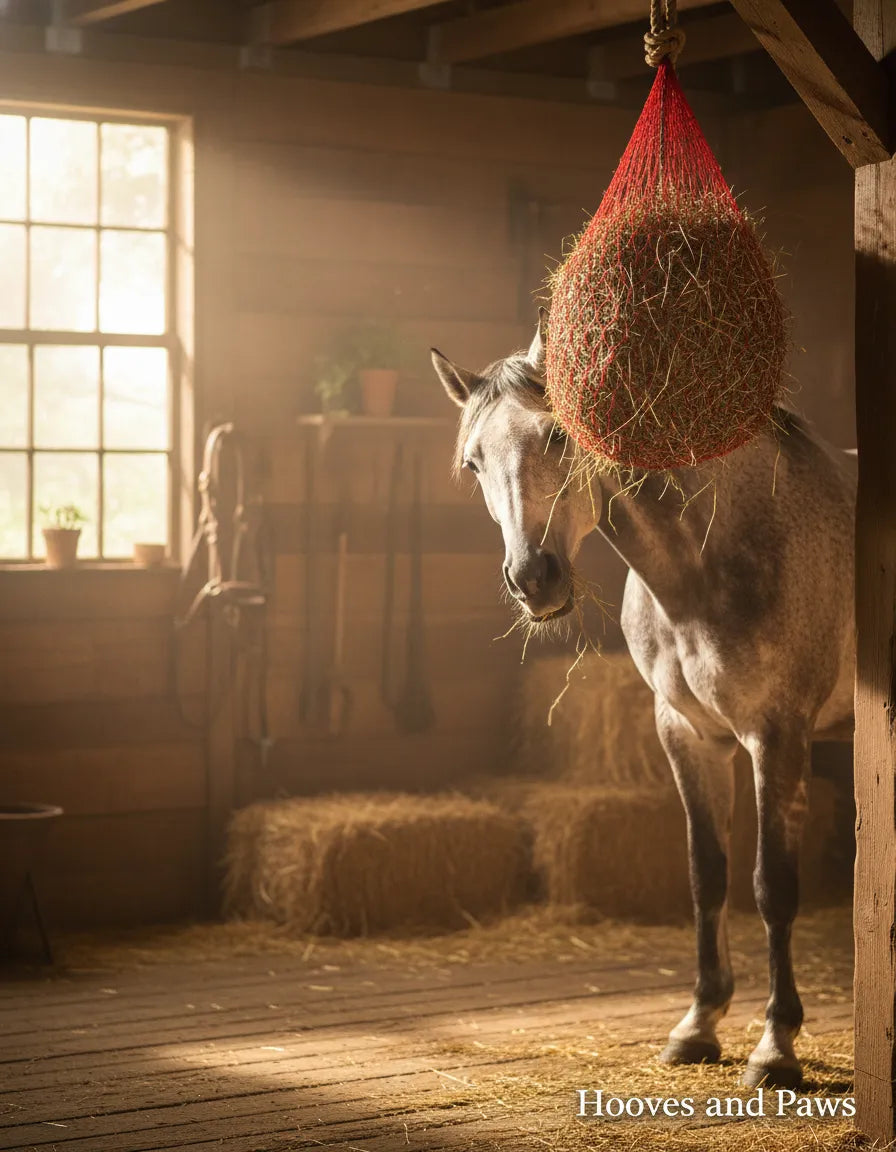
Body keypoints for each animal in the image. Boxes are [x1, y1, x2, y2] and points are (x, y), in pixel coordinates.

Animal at [431, 311, 856, 1090]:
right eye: (474, 463)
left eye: (557, 436)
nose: (533, 579)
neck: (710, 562)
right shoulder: (686, 734)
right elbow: (705, 874)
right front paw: (698, 1025)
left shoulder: (777, 737)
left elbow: (772, 885)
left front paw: (776, 1046)